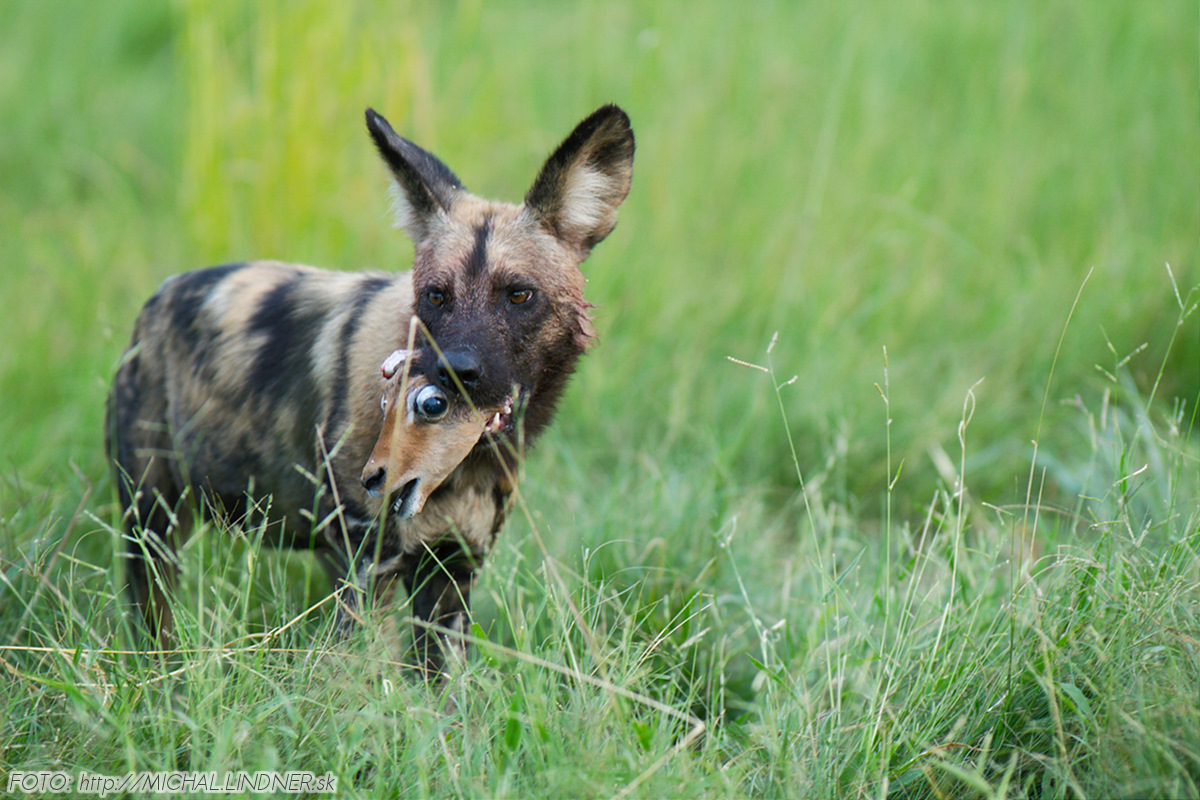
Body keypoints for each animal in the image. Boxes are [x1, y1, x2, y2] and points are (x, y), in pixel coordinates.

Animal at [106, 104, 634, 673]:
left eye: (519, 295)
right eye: (436, 296)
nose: (456, 370)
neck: (459, 468)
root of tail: (160, 296)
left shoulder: (450, 573)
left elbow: (440, 684)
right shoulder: (366, 564)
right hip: (150, 525)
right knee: (153, 616)